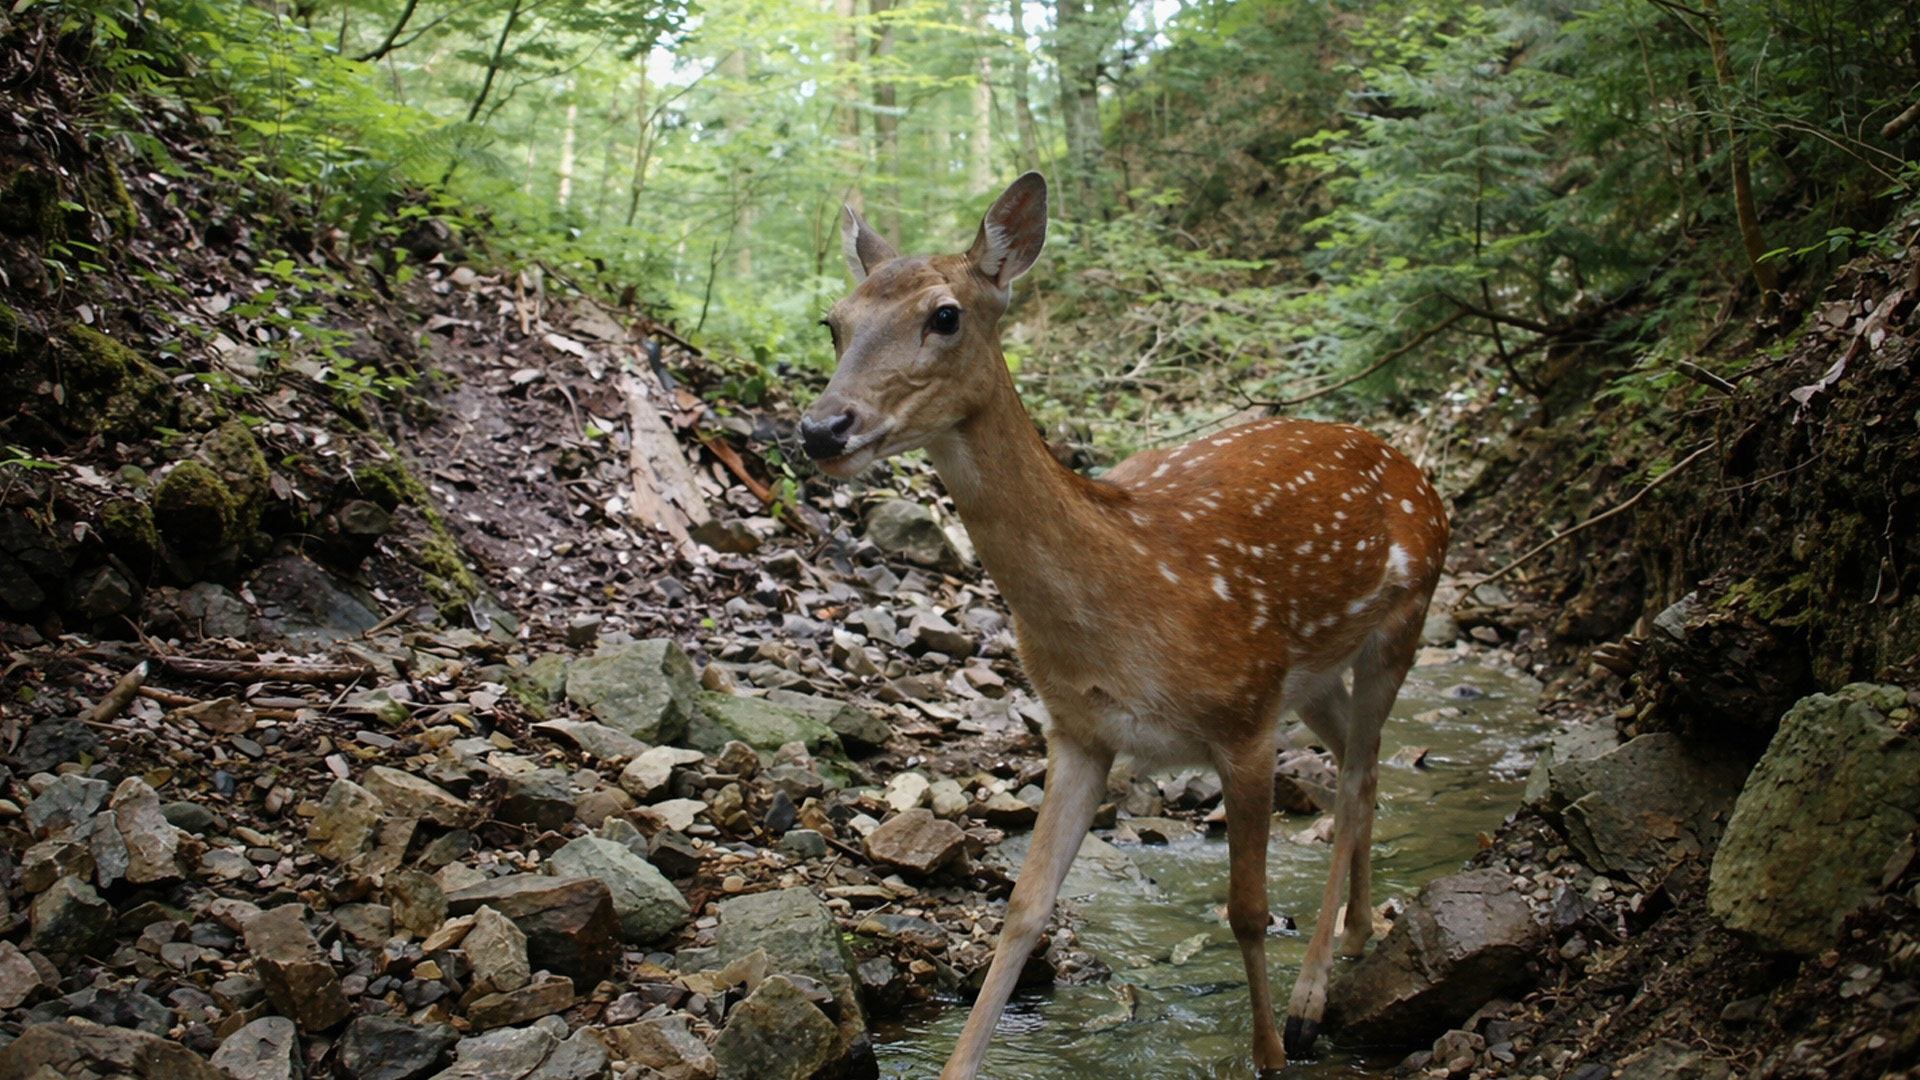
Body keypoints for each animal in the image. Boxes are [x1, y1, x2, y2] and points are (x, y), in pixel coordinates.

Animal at [799, 173, 1449, 1078]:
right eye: (834, 321)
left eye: (945, 315)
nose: (822, 428)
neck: (1127, 596)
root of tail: (1420, 475)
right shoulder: (1079, 729)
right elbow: (1023, 910)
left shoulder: (1243, 718)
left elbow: (1247, 911)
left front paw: (1269, 1053)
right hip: (1314, 674)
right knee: (1370, 761)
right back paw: (1357, 933)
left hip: (1404, 616)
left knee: (1353, 782)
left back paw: (1312, 998)